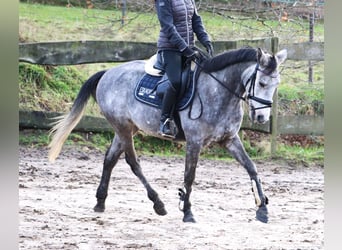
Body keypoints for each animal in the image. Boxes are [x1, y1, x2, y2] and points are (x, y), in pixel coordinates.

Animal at [49, 46, 288, 223]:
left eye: (276, 84)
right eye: (262, 83)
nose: (262, 118)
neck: (219, 92)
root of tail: (107, 73)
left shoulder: (229, 139)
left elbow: (251, 167)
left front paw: (262, 209)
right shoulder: (194, 141)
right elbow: (189, 176)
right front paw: (187, 211)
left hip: (126, 128)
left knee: (110, 159)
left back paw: (100, 202)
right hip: (123, 128)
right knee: (132, 162)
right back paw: (158, 203)